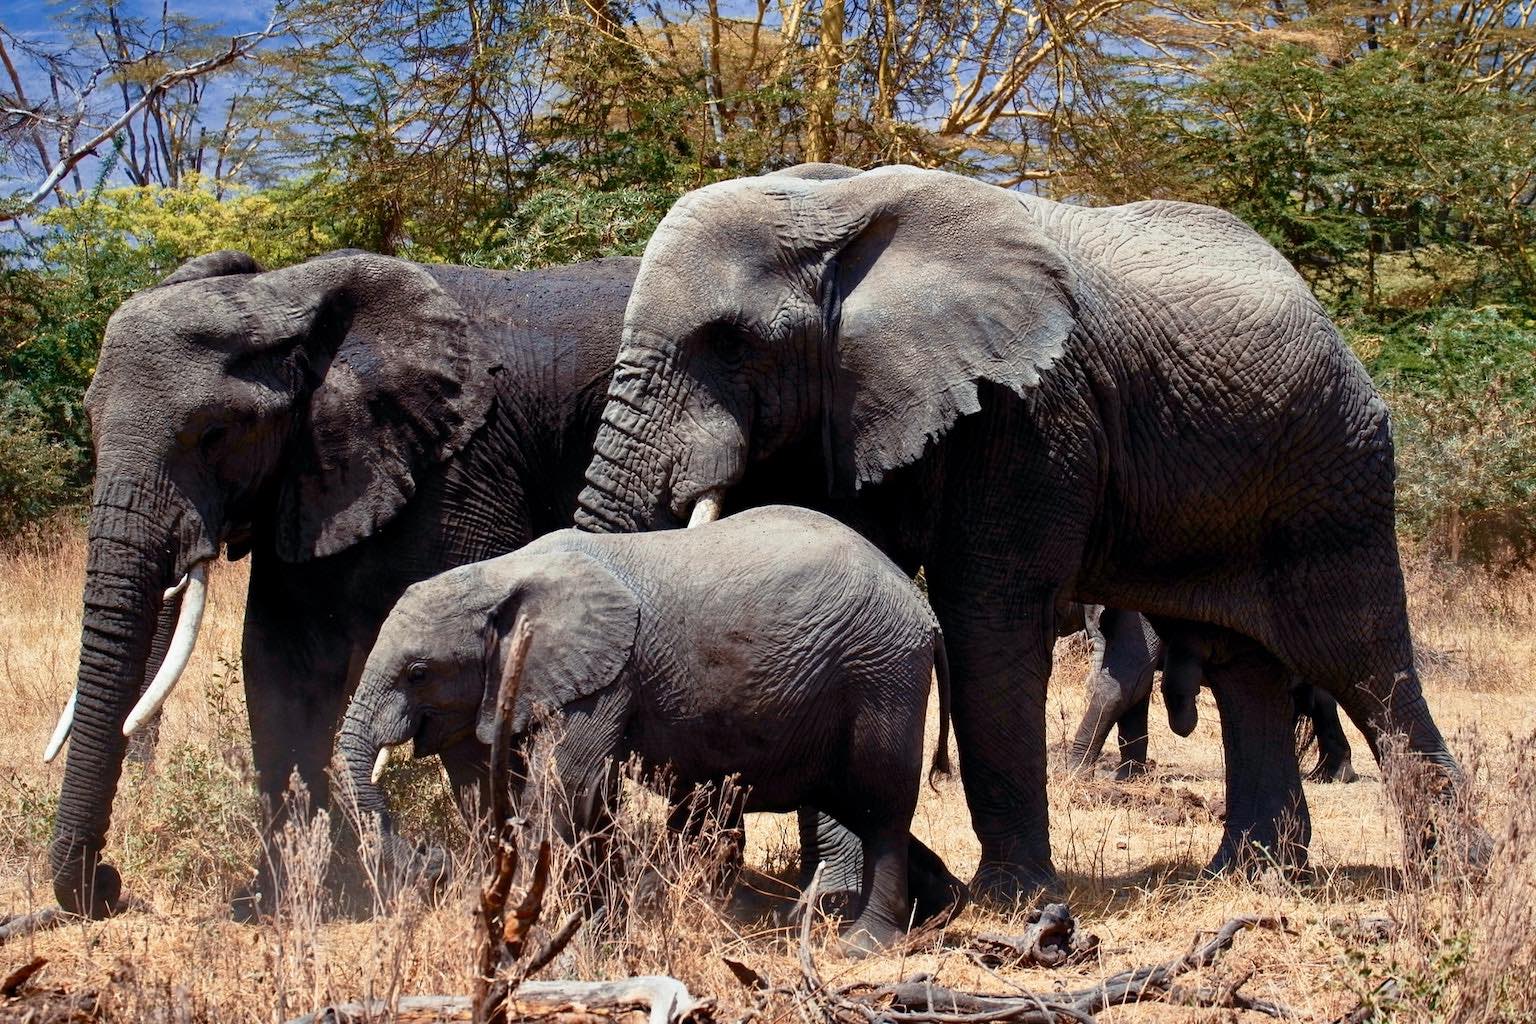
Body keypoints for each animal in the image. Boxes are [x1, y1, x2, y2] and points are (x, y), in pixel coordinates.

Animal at [44, 248, 637, 919]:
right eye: (89, 423)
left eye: (216, 434)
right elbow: (282, 666)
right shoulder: (307, 479)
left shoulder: (463, 472)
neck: (286, 299)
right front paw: (284, 901)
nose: (109, 885)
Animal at [334, 504, 963, 950]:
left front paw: (543, 937)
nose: (425, 858)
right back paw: (942, 906)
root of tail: (922, 609)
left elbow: (565, 790)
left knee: (880, 804)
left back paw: (865, 945)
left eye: (418, 672)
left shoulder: (605, 678)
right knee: (850, 800)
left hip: (882, 671)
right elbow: (553, 797)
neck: (502, 574)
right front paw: (597, 931)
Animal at [1065, 605, 1358, 784]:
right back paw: (1329, 774)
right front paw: (1129, 778)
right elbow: (1137, 688)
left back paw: (1333, 775)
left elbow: (1127, 681)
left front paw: (1073, 772)